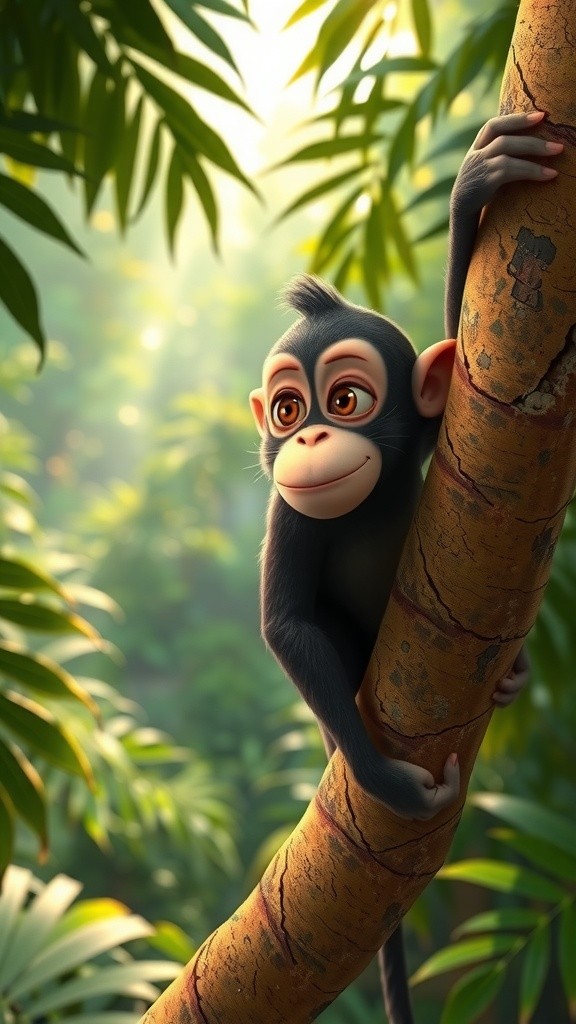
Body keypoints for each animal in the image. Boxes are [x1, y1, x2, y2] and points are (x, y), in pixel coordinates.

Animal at [249, 112, 561, 1024]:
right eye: (289, 410)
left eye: (345, 400)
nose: (310, 438)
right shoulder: (288, 510)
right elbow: (287, 624)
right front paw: (385, 782)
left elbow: (484, 360)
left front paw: (477, 185)